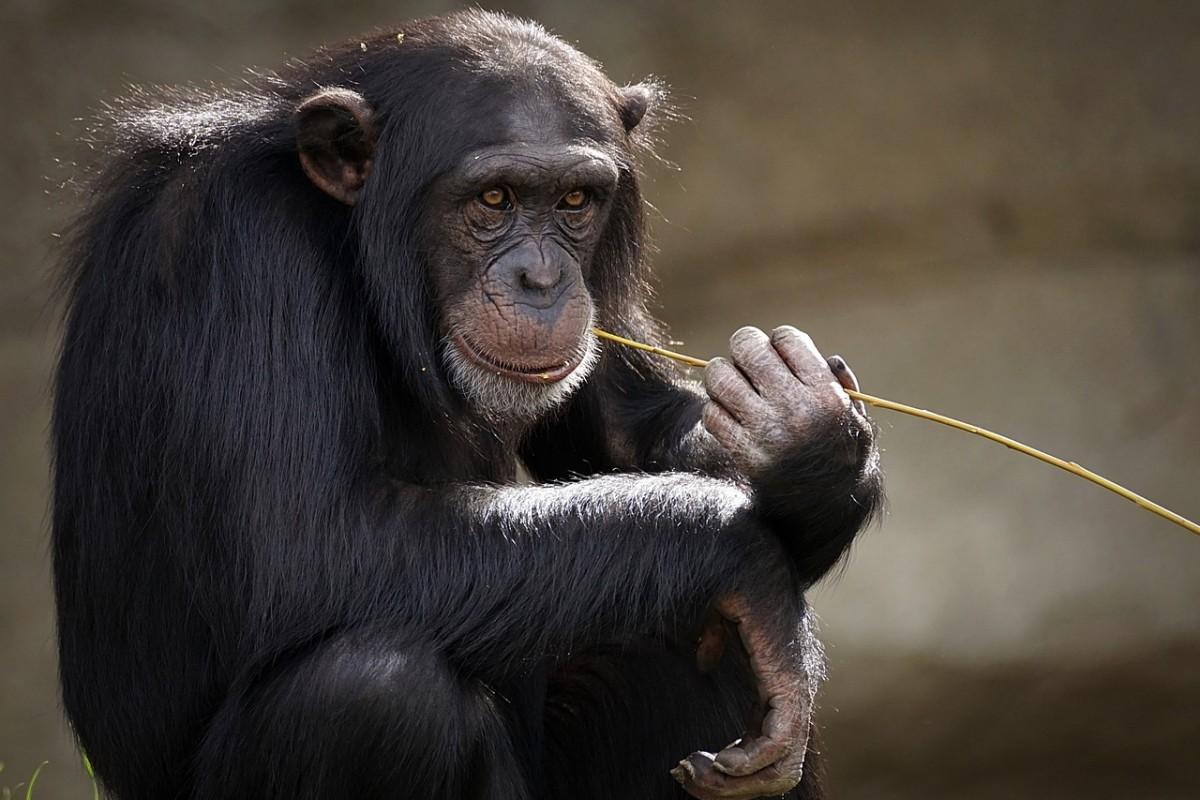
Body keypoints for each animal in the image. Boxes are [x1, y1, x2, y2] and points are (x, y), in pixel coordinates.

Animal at [54, 9, 883, 796]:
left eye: (575, 200)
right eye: (494, 198)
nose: (542, 279)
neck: (348, 238)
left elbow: (624, 430)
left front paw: (807, 438)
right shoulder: (237, 241)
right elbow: (305, 542)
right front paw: (745, 561)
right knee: (373, 691)